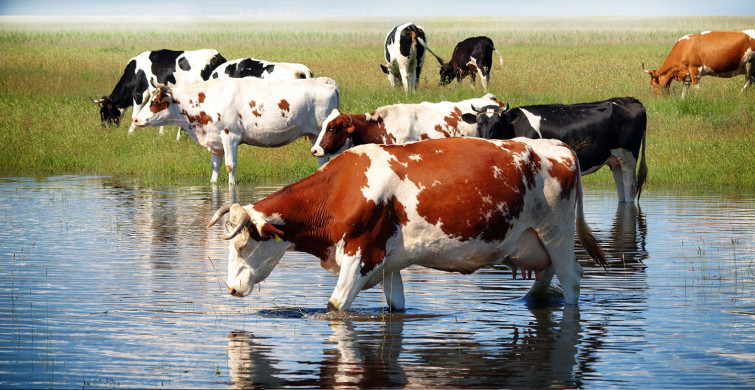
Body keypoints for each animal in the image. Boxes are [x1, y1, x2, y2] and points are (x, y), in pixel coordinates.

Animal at [133, 77, 340, 186]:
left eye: (155, 102)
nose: (135, 120)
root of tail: (327, 81)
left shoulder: (229, 136)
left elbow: (230, 166)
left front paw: (231, 186)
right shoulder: (216, 141)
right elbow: (215, 166)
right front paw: (213, 183)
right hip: (315, 137)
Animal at [208, 137, 608, 310]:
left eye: (243, 245)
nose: (230, 289)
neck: (342, 187)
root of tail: (556, 145)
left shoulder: (360, 254)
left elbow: (336, 307)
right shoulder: (388, 263)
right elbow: (395, 307)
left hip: (556, 234)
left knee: (572, 280)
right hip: (536, 242)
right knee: (545, 277)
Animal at [464, 96, 648, 203]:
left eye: (498, 124)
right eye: (479, 124)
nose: (486, 139)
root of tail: (631, 100)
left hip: (628, 156)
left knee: (630, 189)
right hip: (615, 161)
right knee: (622, 192)